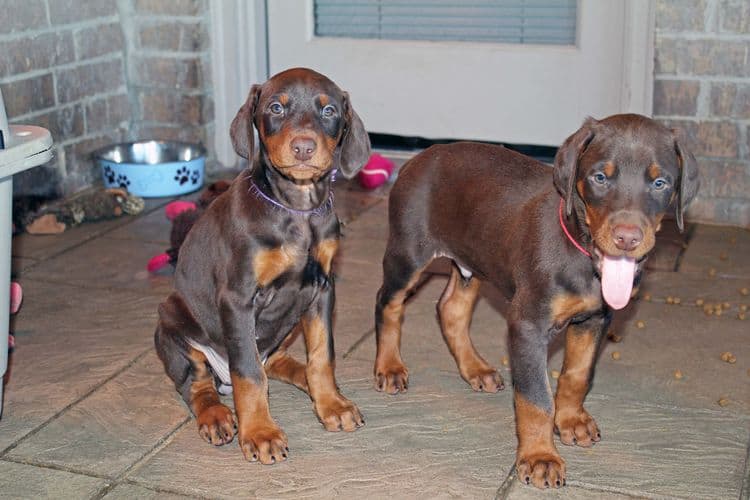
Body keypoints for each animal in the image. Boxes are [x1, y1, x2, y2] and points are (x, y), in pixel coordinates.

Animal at [156, 67, 374, 464]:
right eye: (275, 107)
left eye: (329, 111)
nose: (303, 147)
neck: (297, 208)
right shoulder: (238, 298)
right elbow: (248, 373)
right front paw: (259, 433)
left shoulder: (323, 289)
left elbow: (322, 355)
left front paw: (331, 404)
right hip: (172, 322)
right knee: (198, 383)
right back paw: (216, 416)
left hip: (289, 323)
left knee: (274, 362)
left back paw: (307, 382)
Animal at [374, 114, 700, 488]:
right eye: (600, 178)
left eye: (660, 182)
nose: (627, 239)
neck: (582, 253)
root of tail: (420, 157)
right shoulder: (528, 324)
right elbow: (535, 397)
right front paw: (540, 457)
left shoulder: (594, 320)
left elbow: (577, 374)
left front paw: (571, 421)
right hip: (408, 254)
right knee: (388, 303)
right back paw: (389, 366)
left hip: (475, 259)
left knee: (451, 309)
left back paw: (476, 369)